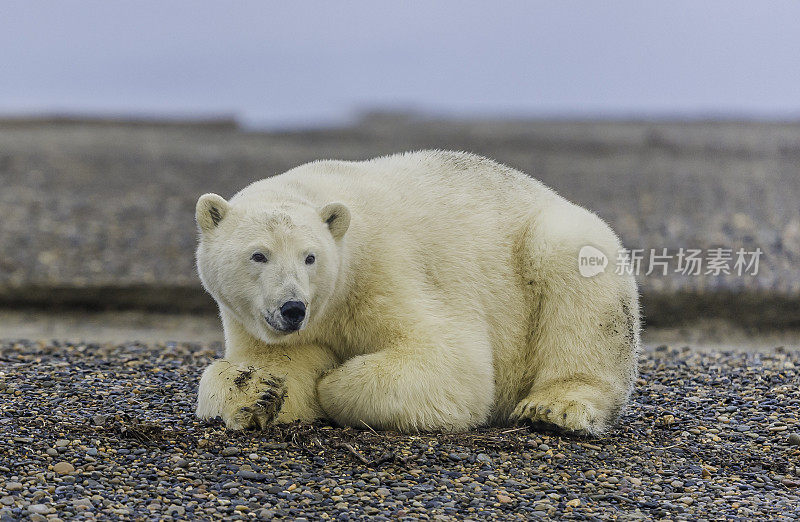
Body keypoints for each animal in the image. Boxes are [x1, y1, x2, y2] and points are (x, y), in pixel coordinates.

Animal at [194, 149, 636, 434]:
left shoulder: (388, 269)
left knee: (575, 279)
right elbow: (278, 366)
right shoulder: (268, 324)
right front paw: (258, 392)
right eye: (259, 255)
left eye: (310, 257)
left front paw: (332, 379)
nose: (292, 308)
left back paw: (552, 407)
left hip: (549, 248)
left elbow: (452, 361)